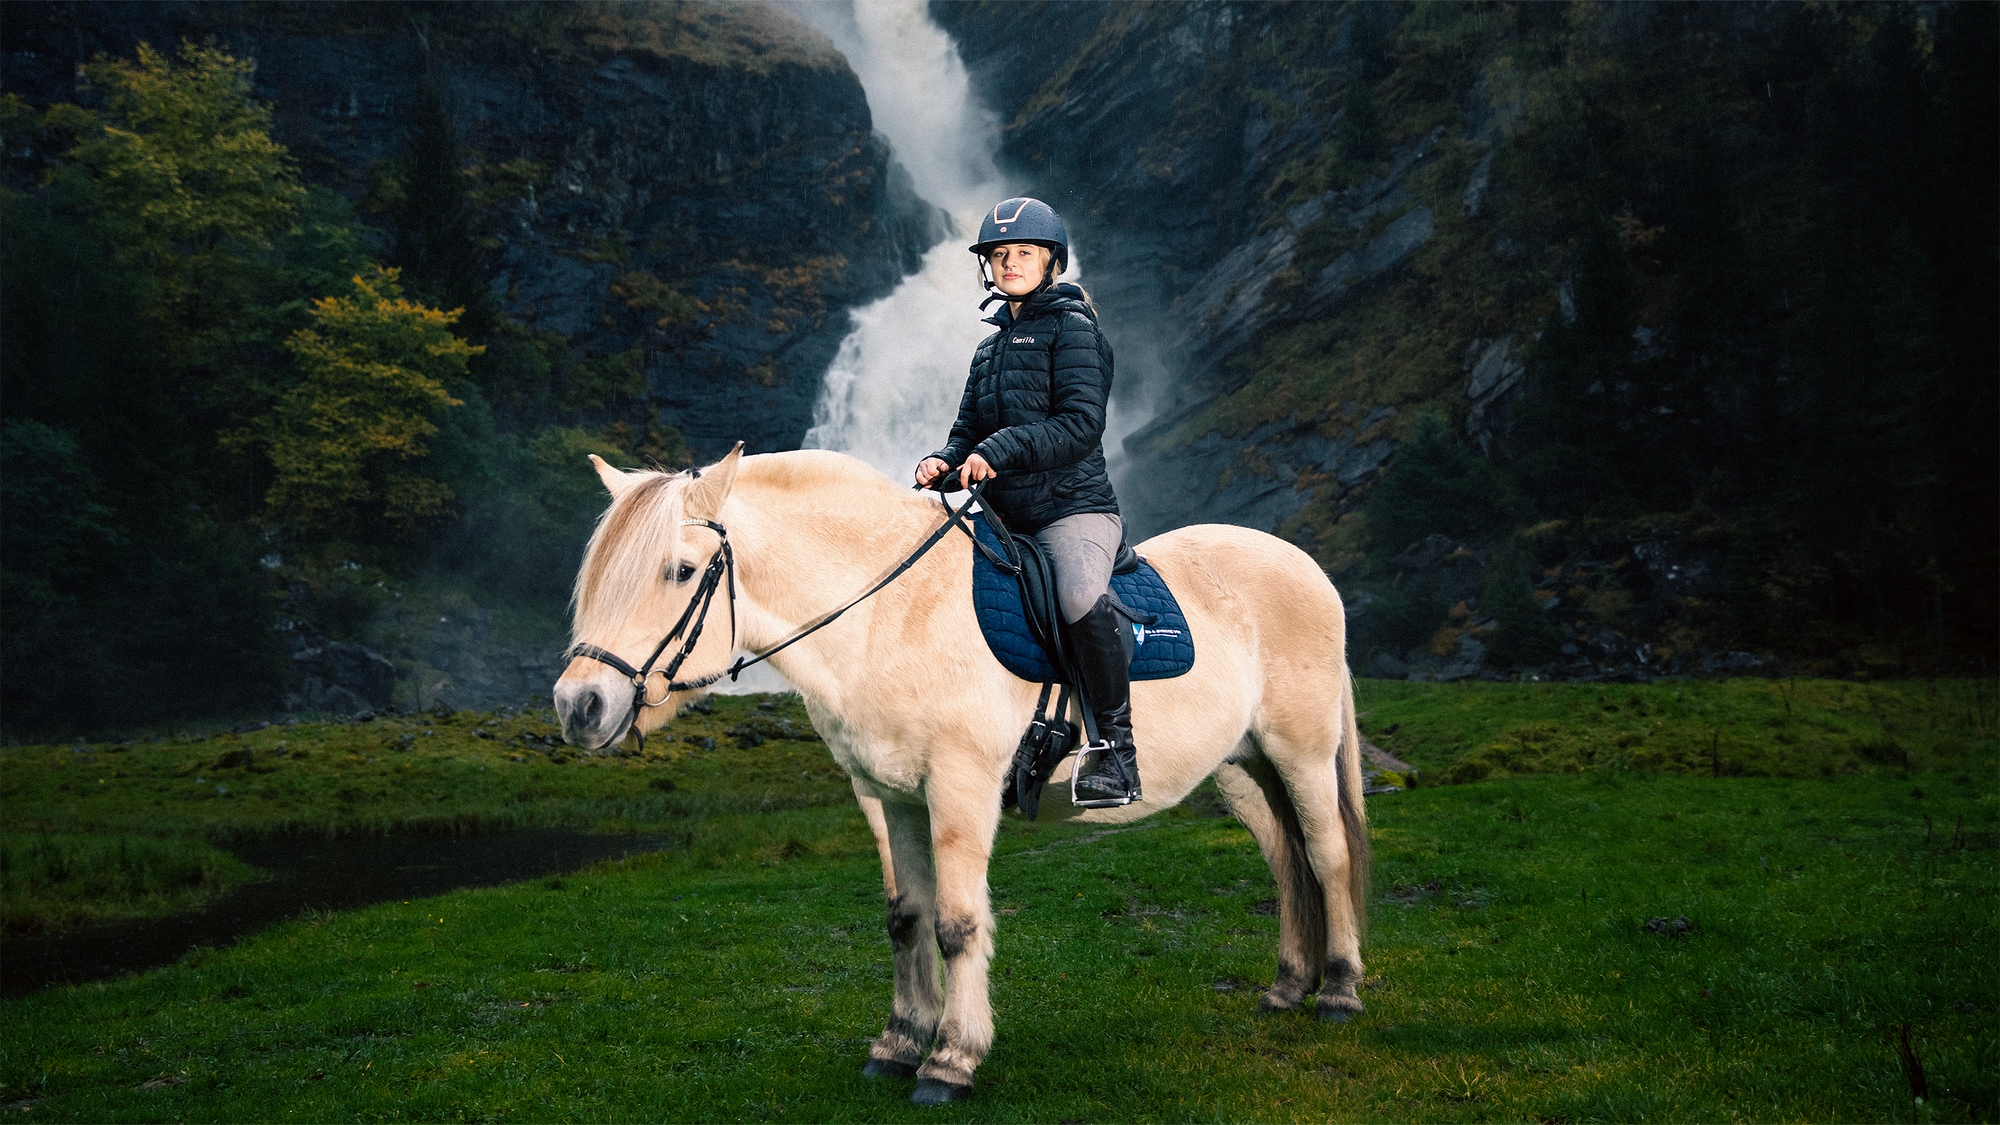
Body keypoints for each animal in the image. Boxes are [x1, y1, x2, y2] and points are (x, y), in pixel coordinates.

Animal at [556, 442, 1368, 1096]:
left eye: (680, 570)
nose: (578, 705)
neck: (890, 617)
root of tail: (1306, 567)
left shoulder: (960, 788)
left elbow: (957, 922)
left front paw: (951, 1058)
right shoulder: (887, 796)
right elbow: (906, 917)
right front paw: (897, 1043)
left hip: (1300, 752)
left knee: (1326, 855)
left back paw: (1339, 991)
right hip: (1245, 769)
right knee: (1286, 860)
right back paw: (1288, 987)